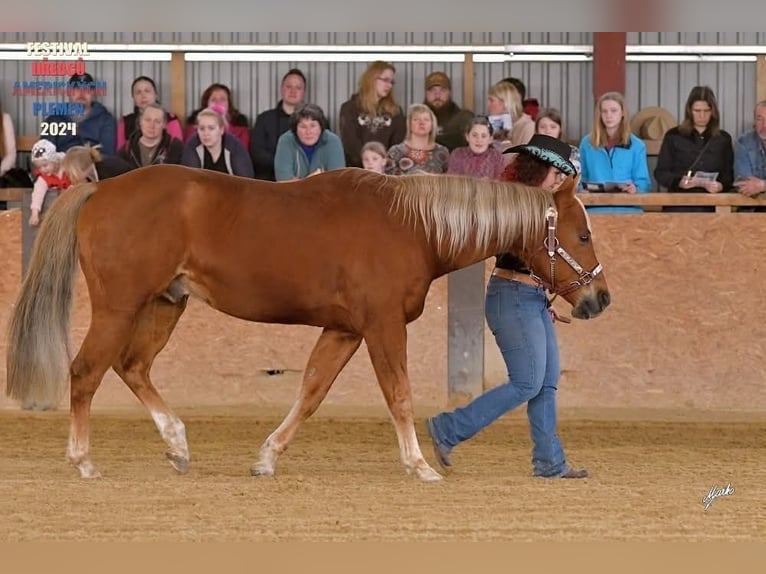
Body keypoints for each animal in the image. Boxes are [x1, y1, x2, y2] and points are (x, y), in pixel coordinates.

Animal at [5, 165, 610, 482]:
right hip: (119, 306)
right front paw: (420, 464)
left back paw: (177, 445)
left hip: (164, 304)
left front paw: (268, 457)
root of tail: (99, 189)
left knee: (132, 368)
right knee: (86, 372)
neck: (413, 226)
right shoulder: (383, 326)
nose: (599, 299)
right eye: (581, 234)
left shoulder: (345, 330)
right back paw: (83, 460)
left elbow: (311, 391)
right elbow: (399, 394)